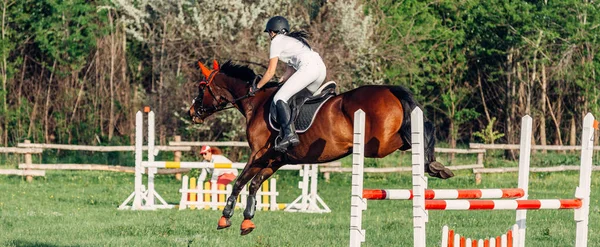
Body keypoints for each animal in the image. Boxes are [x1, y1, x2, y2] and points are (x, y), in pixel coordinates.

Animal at [190, 59, 452, 235]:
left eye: (202, 87)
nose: (192, 112)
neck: (256, 102)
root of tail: (390, 89)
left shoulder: (259, 154)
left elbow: (240, 181)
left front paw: (225, 217)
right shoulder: (276, 160)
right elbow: (254, 184)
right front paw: (247, 221)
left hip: (379, 146)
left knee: (418, 134)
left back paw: (432, 164)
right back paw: (436, 166)